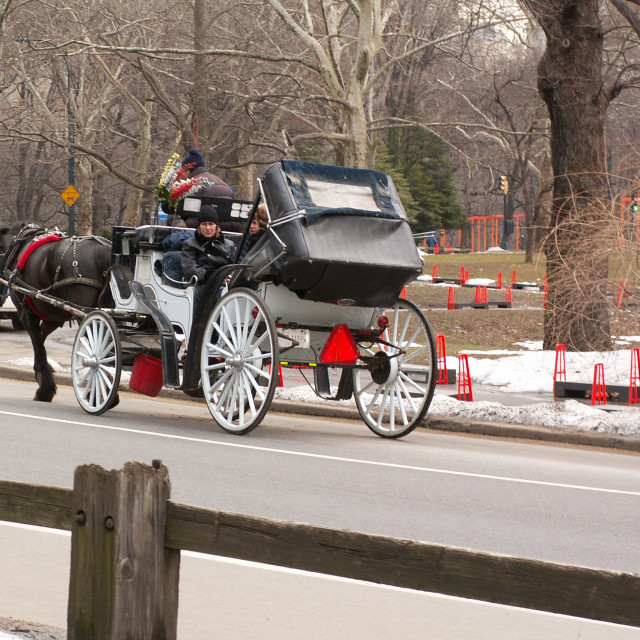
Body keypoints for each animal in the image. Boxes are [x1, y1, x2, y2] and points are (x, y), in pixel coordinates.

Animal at [0, 225, 111, 402]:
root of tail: (103, 249)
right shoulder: (53, 317)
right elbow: (41, 340)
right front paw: (41, 373)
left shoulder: (25, 313)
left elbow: (38, 345)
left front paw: (44, 389)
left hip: (85, 313)